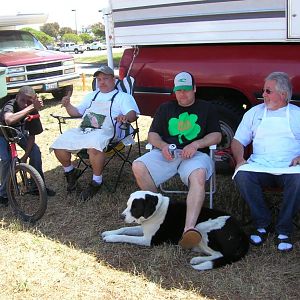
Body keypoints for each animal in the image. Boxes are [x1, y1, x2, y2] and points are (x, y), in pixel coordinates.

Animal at [102, 191, 250, 270]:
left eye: (135, 207)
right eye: (127, 205)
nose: (121, 216)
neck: (157, 210)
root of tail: (243, 233)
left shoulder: (148, 240)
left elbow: (125, 237)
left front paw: (110, 238)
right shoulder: (144, 230)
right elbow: (124, 229)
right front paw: (109, 232)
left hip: (201, 227)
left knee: (219, 254)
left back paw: (197, 260)